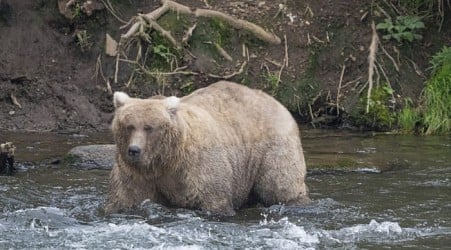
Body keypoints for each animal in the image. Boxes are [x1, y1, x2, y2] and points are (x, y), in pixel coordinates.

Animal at [106, 81, 310, 216]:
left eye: (149, 127)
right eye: (129, 126)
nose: (134, 150)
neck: (166, 161)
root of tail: (278, 102)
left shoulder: (198, 166)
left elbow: (214, 199)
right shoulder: (136, 174)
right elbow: (126, 198)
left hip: (272, 147)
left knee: (279, 184)